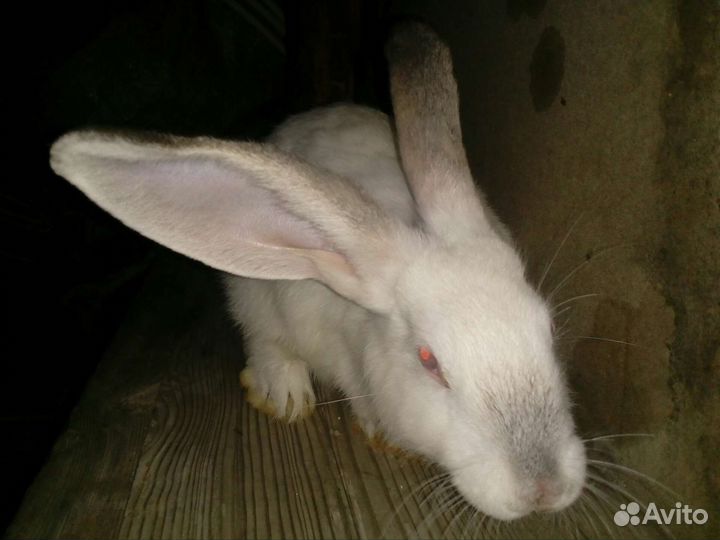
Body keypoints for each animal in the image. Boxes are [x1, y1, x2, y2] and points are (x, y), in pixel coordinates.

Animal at [49, 22, 586, 521]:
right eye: (428, 360)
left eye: (550, 330)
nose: (543, 491)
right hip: (253, 293)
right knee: (264, 339)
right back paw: (284, 395)